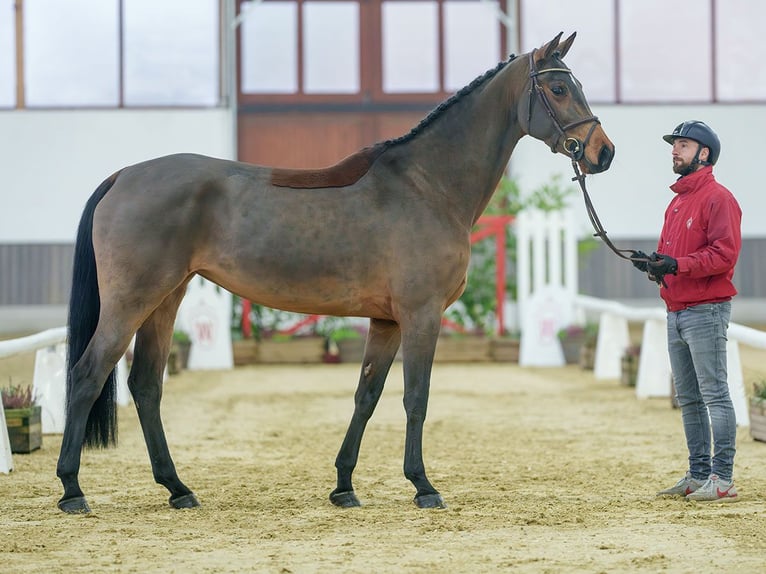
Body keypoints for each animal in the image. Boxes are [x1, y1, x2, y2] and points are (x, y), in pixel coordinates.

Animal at [55, 31, 616, 516]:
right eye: (559, 88)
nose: (603, 153)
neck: (427, 184)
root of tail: (122, 176)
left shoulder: (387, 322)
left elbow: (367, 395)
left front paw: (344, 485)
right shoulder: (421, 316)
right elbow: (416, 397)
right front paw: (423, 485)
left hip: (165, 299)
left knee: (146, 385)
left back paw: (177, 488)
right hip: (132, 301)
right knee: (87, 375)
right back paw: (72, 490)